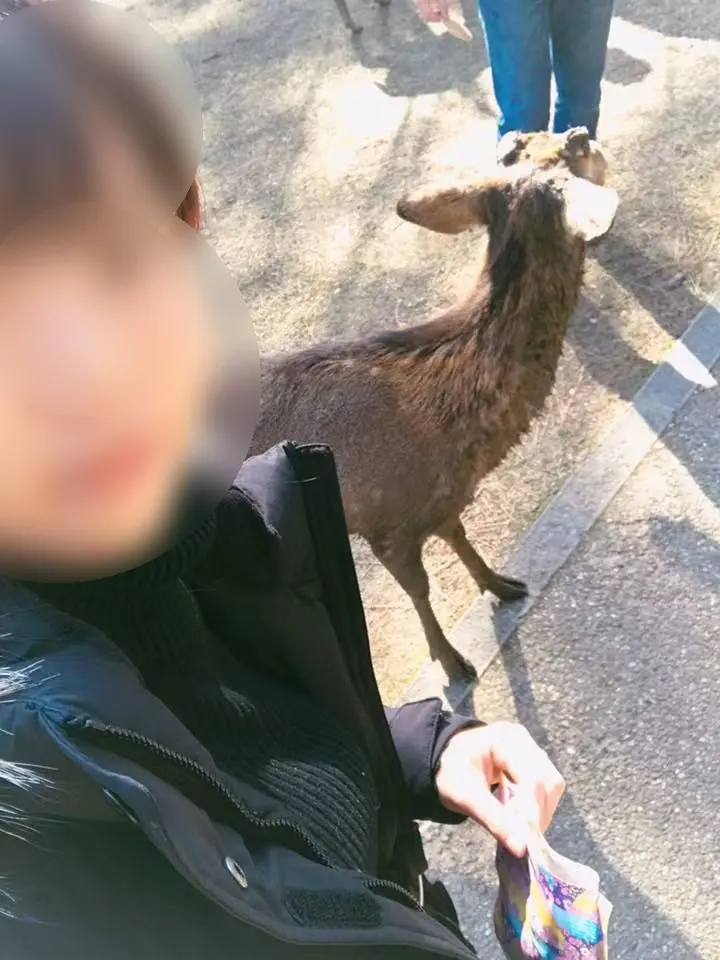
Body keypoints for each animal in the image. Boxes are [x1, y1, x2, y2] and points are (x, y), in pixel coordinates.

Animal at [249, 128, 618, 681]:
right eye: (577, 146)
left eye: (544, 141)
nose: (588, 132)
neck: (452, 437)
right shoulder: (384, 522)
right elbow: (420, 591)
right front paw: (450, 661)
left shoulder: (441, 502)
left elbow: (459, 535)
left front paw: (501, 584)